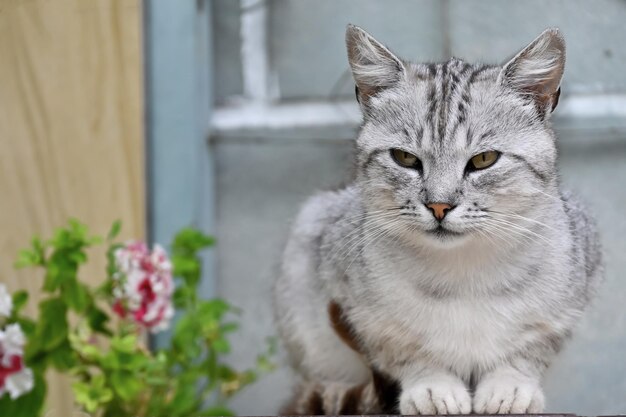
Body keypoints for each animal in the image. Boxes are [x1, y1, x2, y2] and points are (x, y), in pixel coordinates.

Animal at [272, 24, 600, 414]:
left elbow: (528, 350)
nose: (439, 205)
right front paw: (432, 387)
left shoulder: (563, 306)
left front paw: (509, 386)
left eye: (484, 159)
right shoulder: (361, 310)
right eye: (404, 158)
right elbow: (404, 351)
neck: (463, 271)